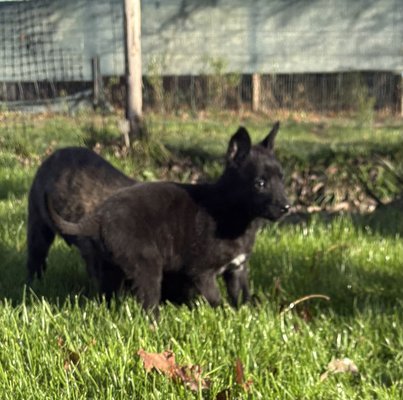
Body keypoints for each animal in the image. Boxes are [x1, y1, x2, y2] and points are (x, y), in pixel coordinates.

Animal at [49, 122, 290, 309]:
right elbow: (217, 301)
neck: (236, 216)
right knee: (148, 305)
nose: (288, 207)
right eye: (260, 183)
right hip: (147, 267)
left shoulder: (238, 269)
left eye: (282, 179)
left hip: (112, 268)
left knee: (107, 296)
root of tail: (98, 218)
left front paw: (246, 313)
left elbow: (242, 296)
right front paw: (226, 316)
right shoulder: (202, 273)